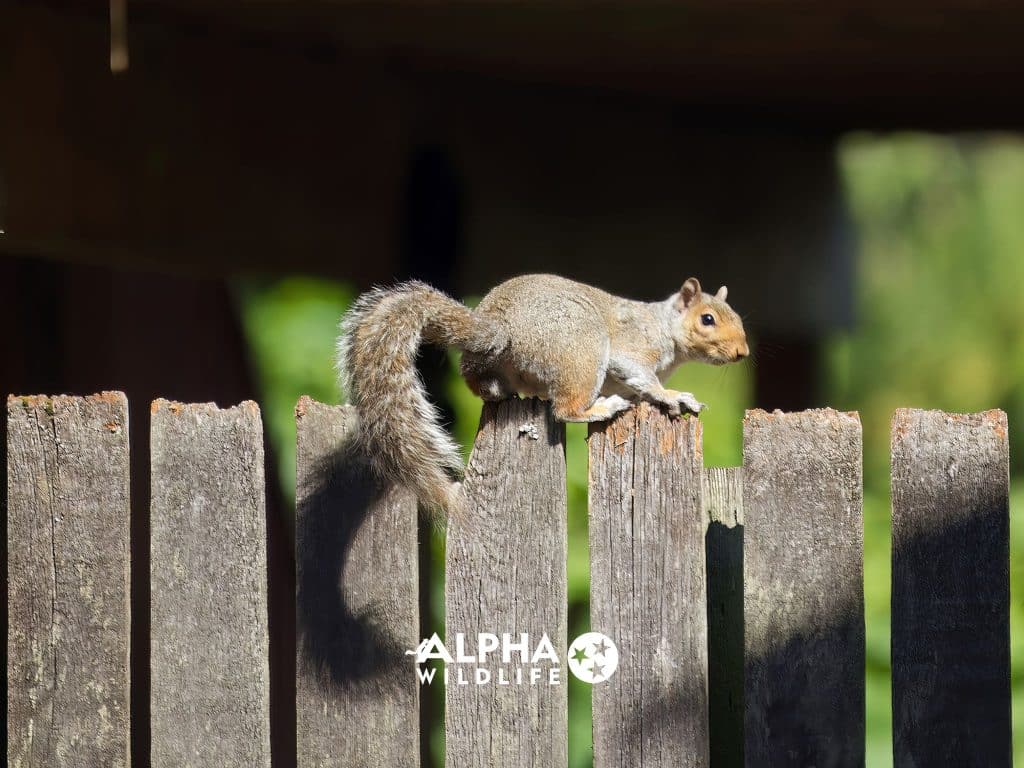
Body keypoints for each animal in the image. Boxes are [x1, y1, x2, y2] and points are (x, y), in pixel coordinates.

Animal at [339, 274, 749, 514]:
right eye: (707, 319)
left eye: (738, 318)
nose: (742, 353)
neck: (664, 327)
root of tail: (499, 327)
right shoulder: (632, 349)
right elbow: (644, 379)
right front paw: (673, 396)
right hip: (582, 352)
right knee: (564, 409)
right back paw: (600, 408)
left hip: (490, 368)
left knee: (482, 383)